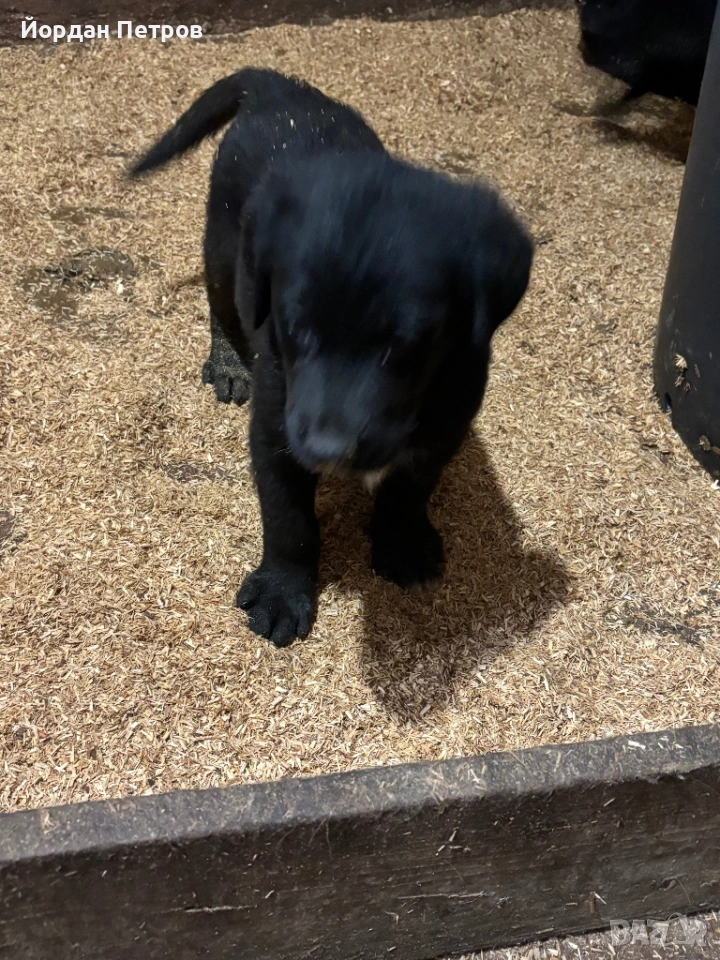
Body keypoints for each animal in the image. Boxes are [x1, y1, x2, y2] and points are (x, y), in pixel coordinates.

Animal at [129, 68, 533, 647]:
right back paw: (228, 363)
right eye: (296, 330)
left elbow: (408, 492)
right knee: (221, 304)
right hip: (225, 250)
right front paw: (282, 593)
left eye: (406, 345)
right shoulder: (275, 430)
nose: (327, 449)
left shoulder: (444, 428)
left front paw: (401, 544)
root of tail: (280, 87)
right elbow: (289, 523)